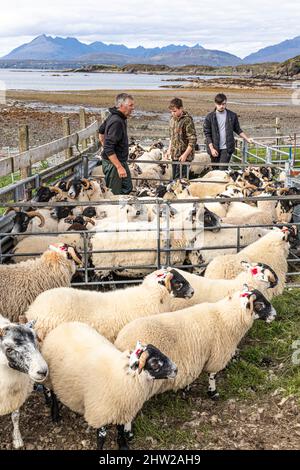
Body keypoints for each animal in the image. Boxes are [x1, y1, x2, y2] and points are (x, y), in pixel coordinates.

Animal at [0, 316, 48, 448]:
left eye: (36, 340)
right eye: (9, 349)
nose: (43, 371)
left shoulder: (16, 396)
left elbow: (16, 416)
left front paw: (17, 439)